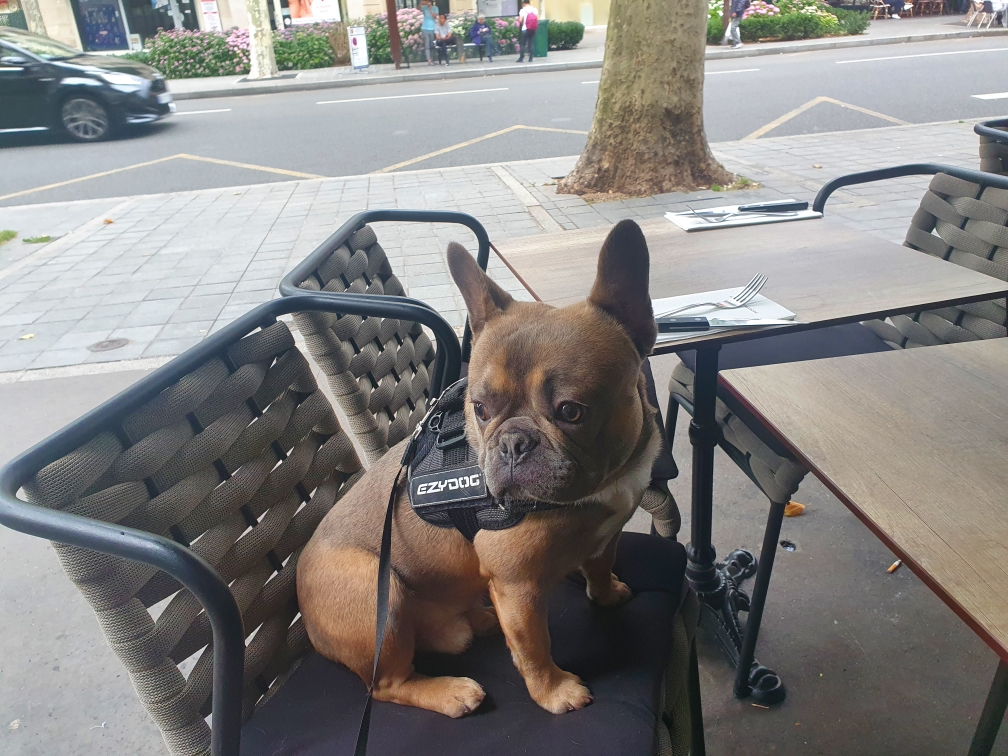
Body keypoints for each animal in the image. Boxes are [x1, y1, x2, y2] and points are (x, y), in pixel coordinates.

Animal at [297, 219, 660, 718]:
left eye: (571, 412)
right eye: (481, 410)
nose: (512, 444)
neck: (601, 485)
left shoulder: (608, 532)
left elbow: (601, 563)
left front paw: (606, 594)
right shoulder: (517, 585)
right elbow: (534, 646)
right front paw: (554, 692)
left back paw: (480, 620)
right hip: (376, 591)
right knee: (387, 684)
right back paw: (450, 691)